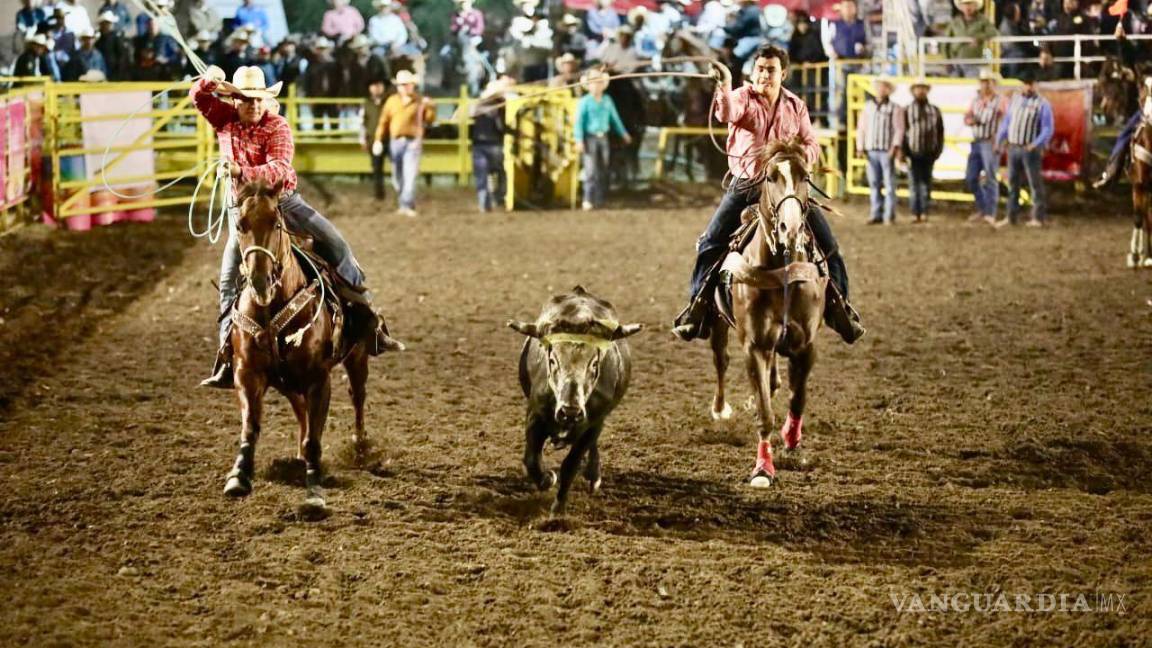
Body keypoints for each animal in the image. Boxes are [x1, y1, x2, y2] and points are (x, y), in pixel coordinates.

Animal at [222, 178, 370, 511]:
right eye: (239, 224)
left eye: (276, 223)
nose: (260, 281)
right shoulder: (246, 373)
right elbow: (250, 425)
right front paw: (239, 475)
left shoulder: (319, 379)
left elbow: (315, 436)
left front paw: (314, 491)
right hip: (287, 380)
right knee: (300, 408)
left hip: (357, 357)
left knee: (357, 397)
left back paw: (360, 448)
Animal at [709, 138, 829, 486]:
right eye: (771, 177)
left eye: (805, 176)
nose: (790, 228)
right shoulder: (755, 347)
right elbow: (765, 414)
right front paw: (763, 469)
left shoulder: (807, 345)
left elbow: (797, 399)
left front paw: (793, 443)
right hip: (716, 322)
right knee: (721, 360)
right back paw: (720, 409)